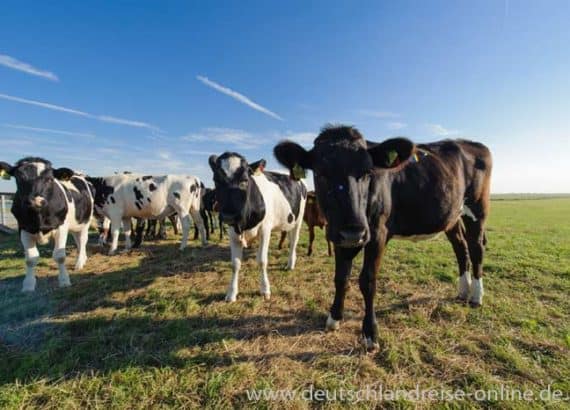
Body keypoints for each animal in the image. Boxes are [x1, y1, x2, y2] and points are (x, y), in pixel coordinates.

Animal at [0, 157, 93, 292]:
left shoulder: (61, 227)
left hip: (85, 222)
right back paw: (82, 259)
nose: (35, 201)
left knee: (82, 240)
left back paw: (80, 262)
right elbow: (30, 259)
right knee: (78, 241)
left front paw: (64, 280)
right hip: (75, 225)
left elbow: (60, 256)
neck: (38, 218)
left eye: (49, 179)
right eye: (19, 178)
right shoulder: (23, 228)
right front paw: (28, 285)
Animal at [209, 152, 306, 300]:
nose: (228, 216)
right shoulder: (233, 233)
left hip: (298, 220)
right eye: (216, 181)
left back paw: (290, 264)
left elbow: (262, 260)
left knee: (294, 241)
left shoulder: (265, 230)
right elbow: (235, 264)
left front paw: (265, 289)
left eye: (244, 180)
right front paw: (231, 293)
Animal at [272, 124, 490, 350]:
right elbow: (341, 278)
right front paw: (334, 317)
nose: (353, 232)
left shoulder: (377, 233)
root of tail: (468, 143)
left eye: (368, 172)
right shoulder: (339, 235)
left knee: (476, 248)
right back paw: (463, 290)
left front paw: (370, 333)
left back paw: (476, 295)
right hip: (452, 216)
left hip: (478, 207)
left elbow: (367, 281)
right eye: (321, 173)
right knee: (460, 246)